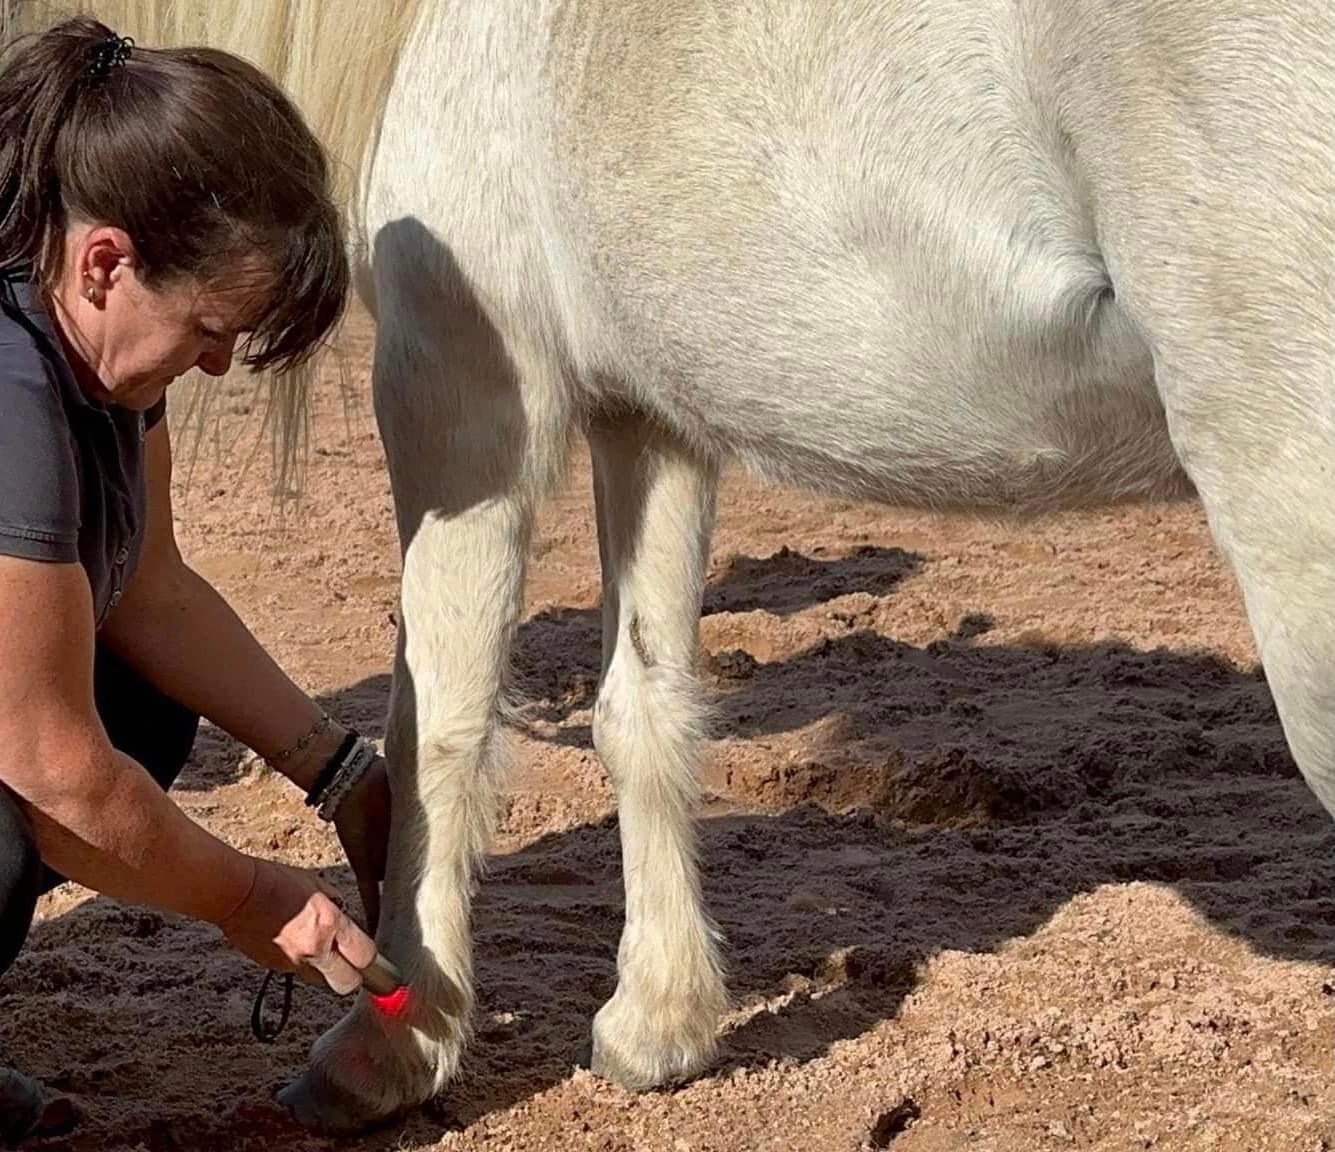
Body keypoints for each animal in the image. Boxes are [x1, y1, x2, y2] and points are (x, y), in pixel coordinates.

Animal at [6, 0, 1332, 1135]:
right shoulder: (650, 421)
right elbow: (638, 709)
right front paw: (659, 1026)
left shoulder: (462, 396)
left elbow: (440, 720)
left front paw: (394, 1041)